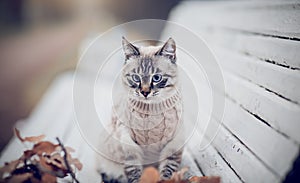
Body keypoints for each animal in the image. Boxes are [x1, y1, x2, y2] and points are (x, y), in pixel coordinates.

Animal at [96, 36, 185, 182]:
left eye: (156, 78)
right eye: (136, 78)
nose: (145, 92)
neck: (152, 110)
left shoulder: (174, 144)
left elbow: (167, 172)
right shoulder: (128, 144)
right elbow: (134, 172)